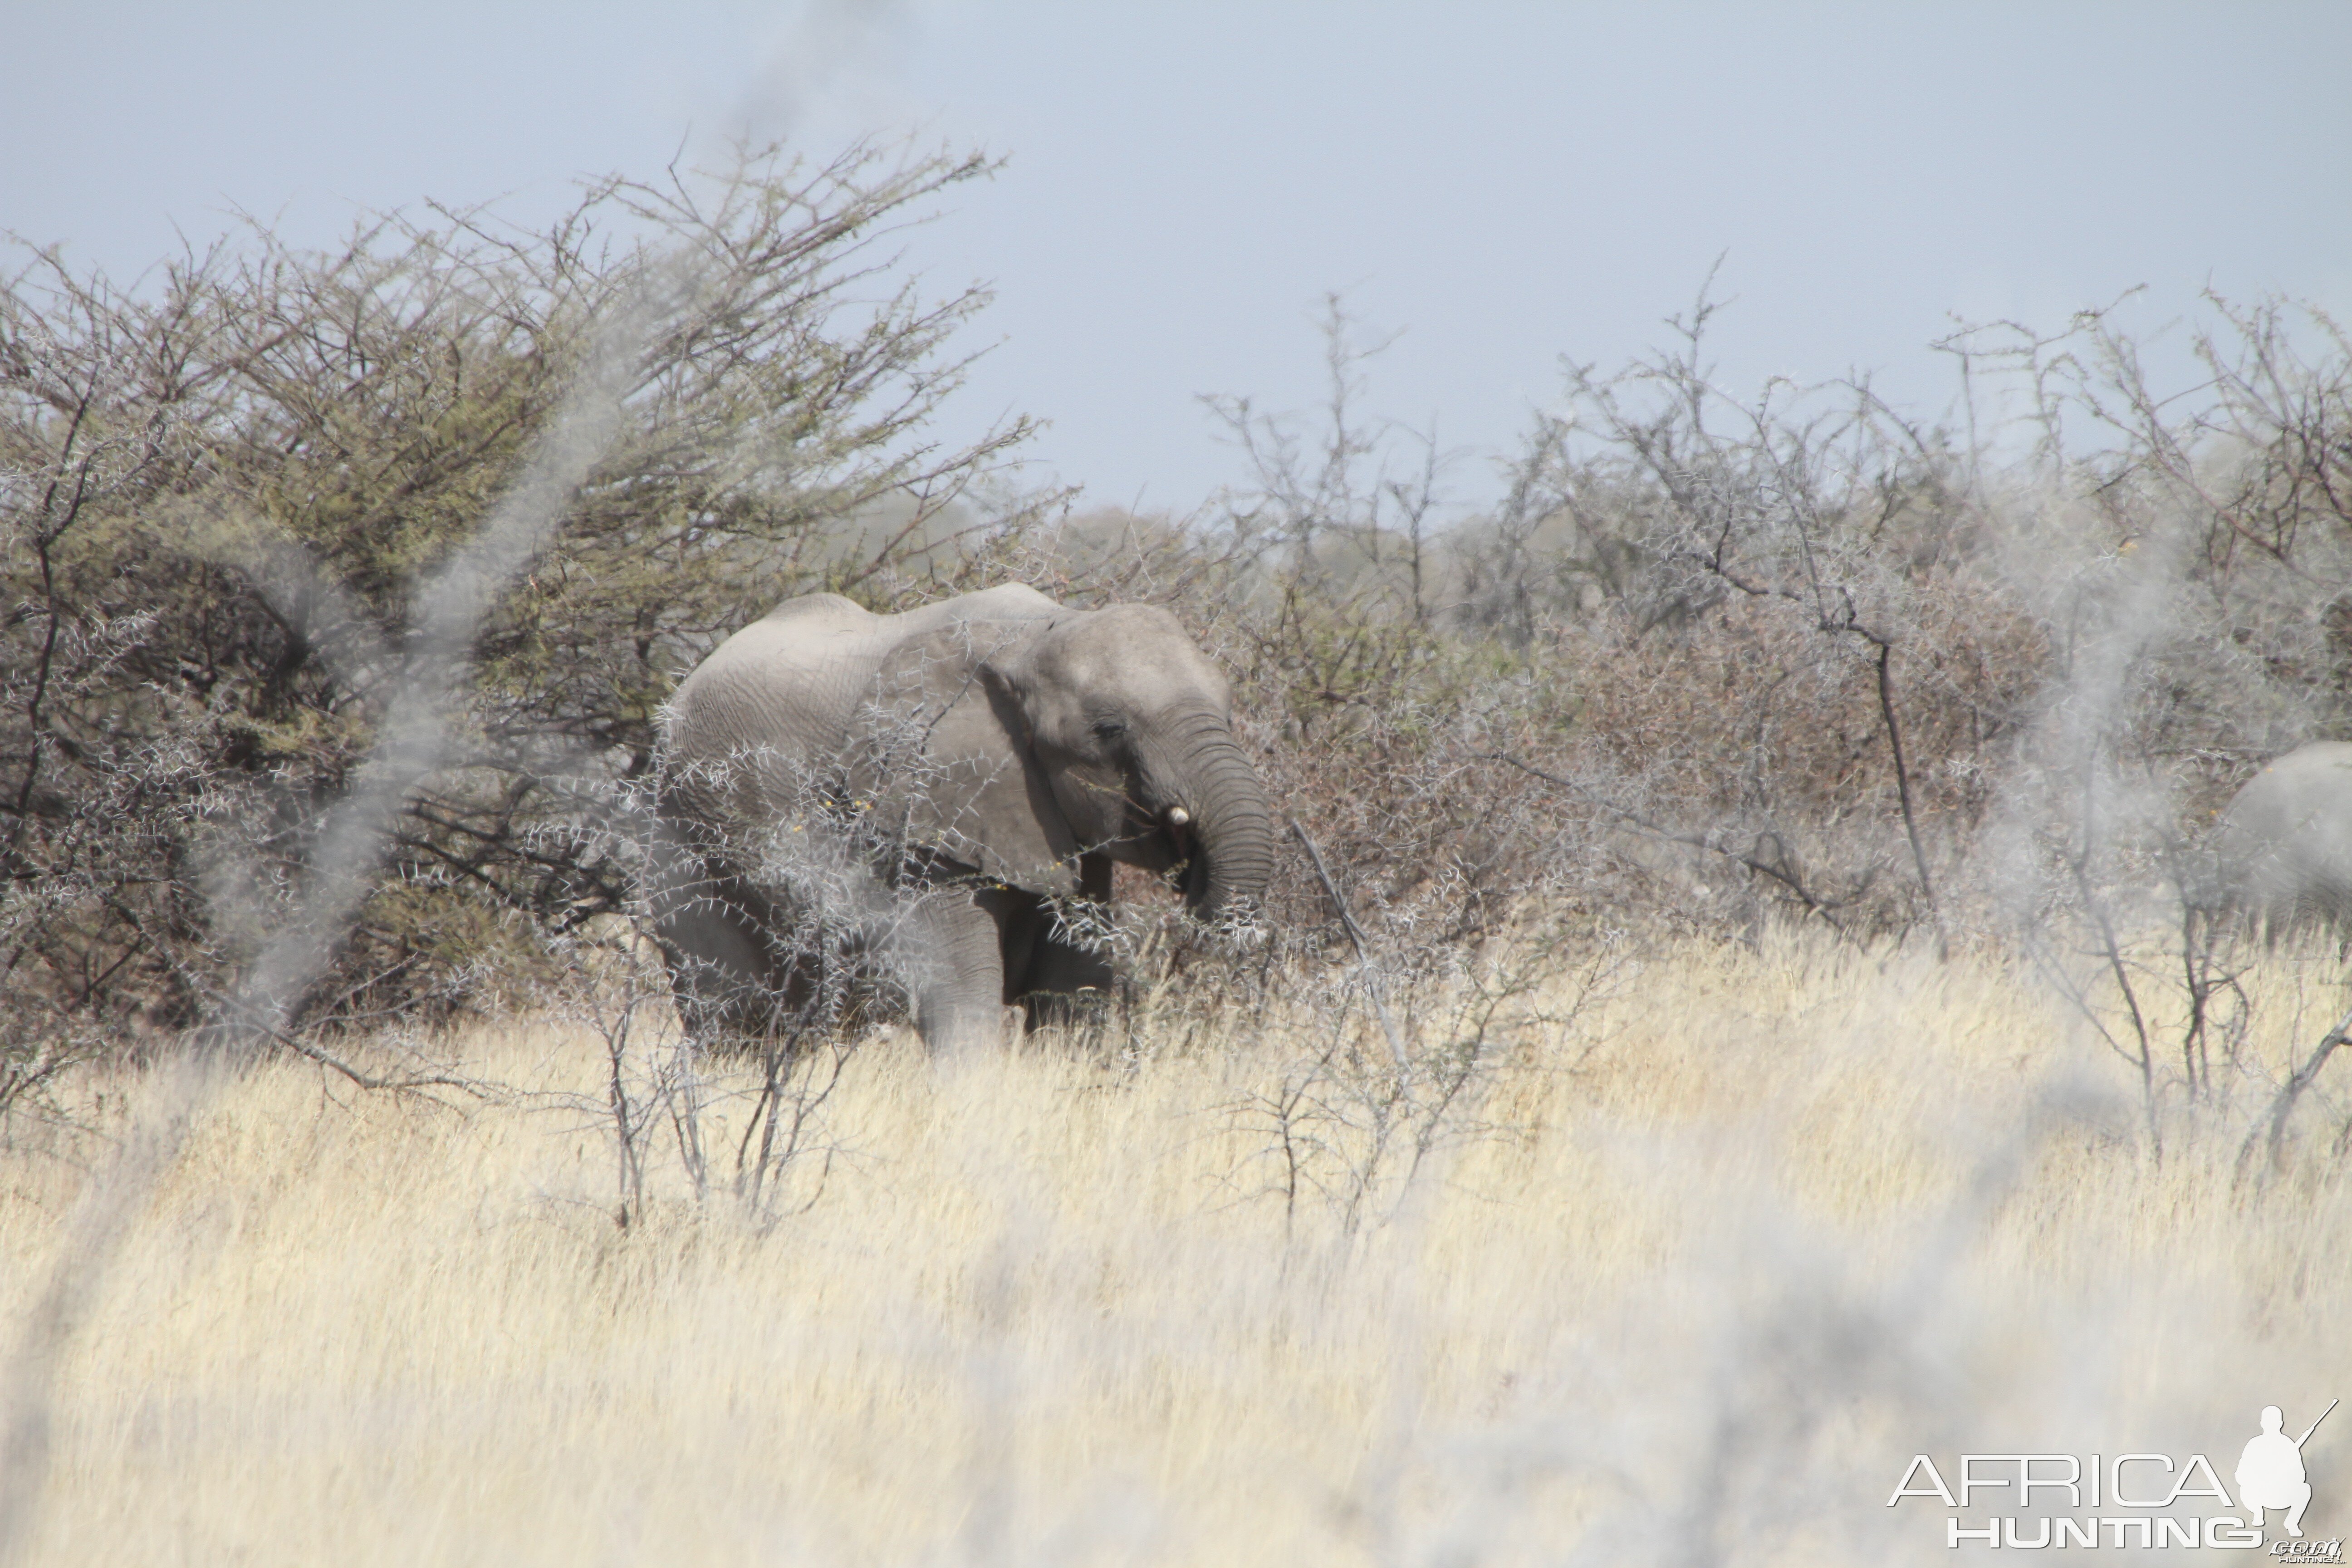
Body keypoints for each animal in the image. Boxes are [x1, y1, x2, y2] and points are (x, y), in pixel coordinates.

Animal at [644, 585, 1279, 1053]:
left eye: (1228, 712)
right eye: (1109, 729)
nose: (1190, 858)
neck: (1036, 633)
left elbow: (1074, 987)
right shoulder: (924, 814)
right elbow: (961, 992)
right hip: (684, 839)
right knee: (726, 1012)